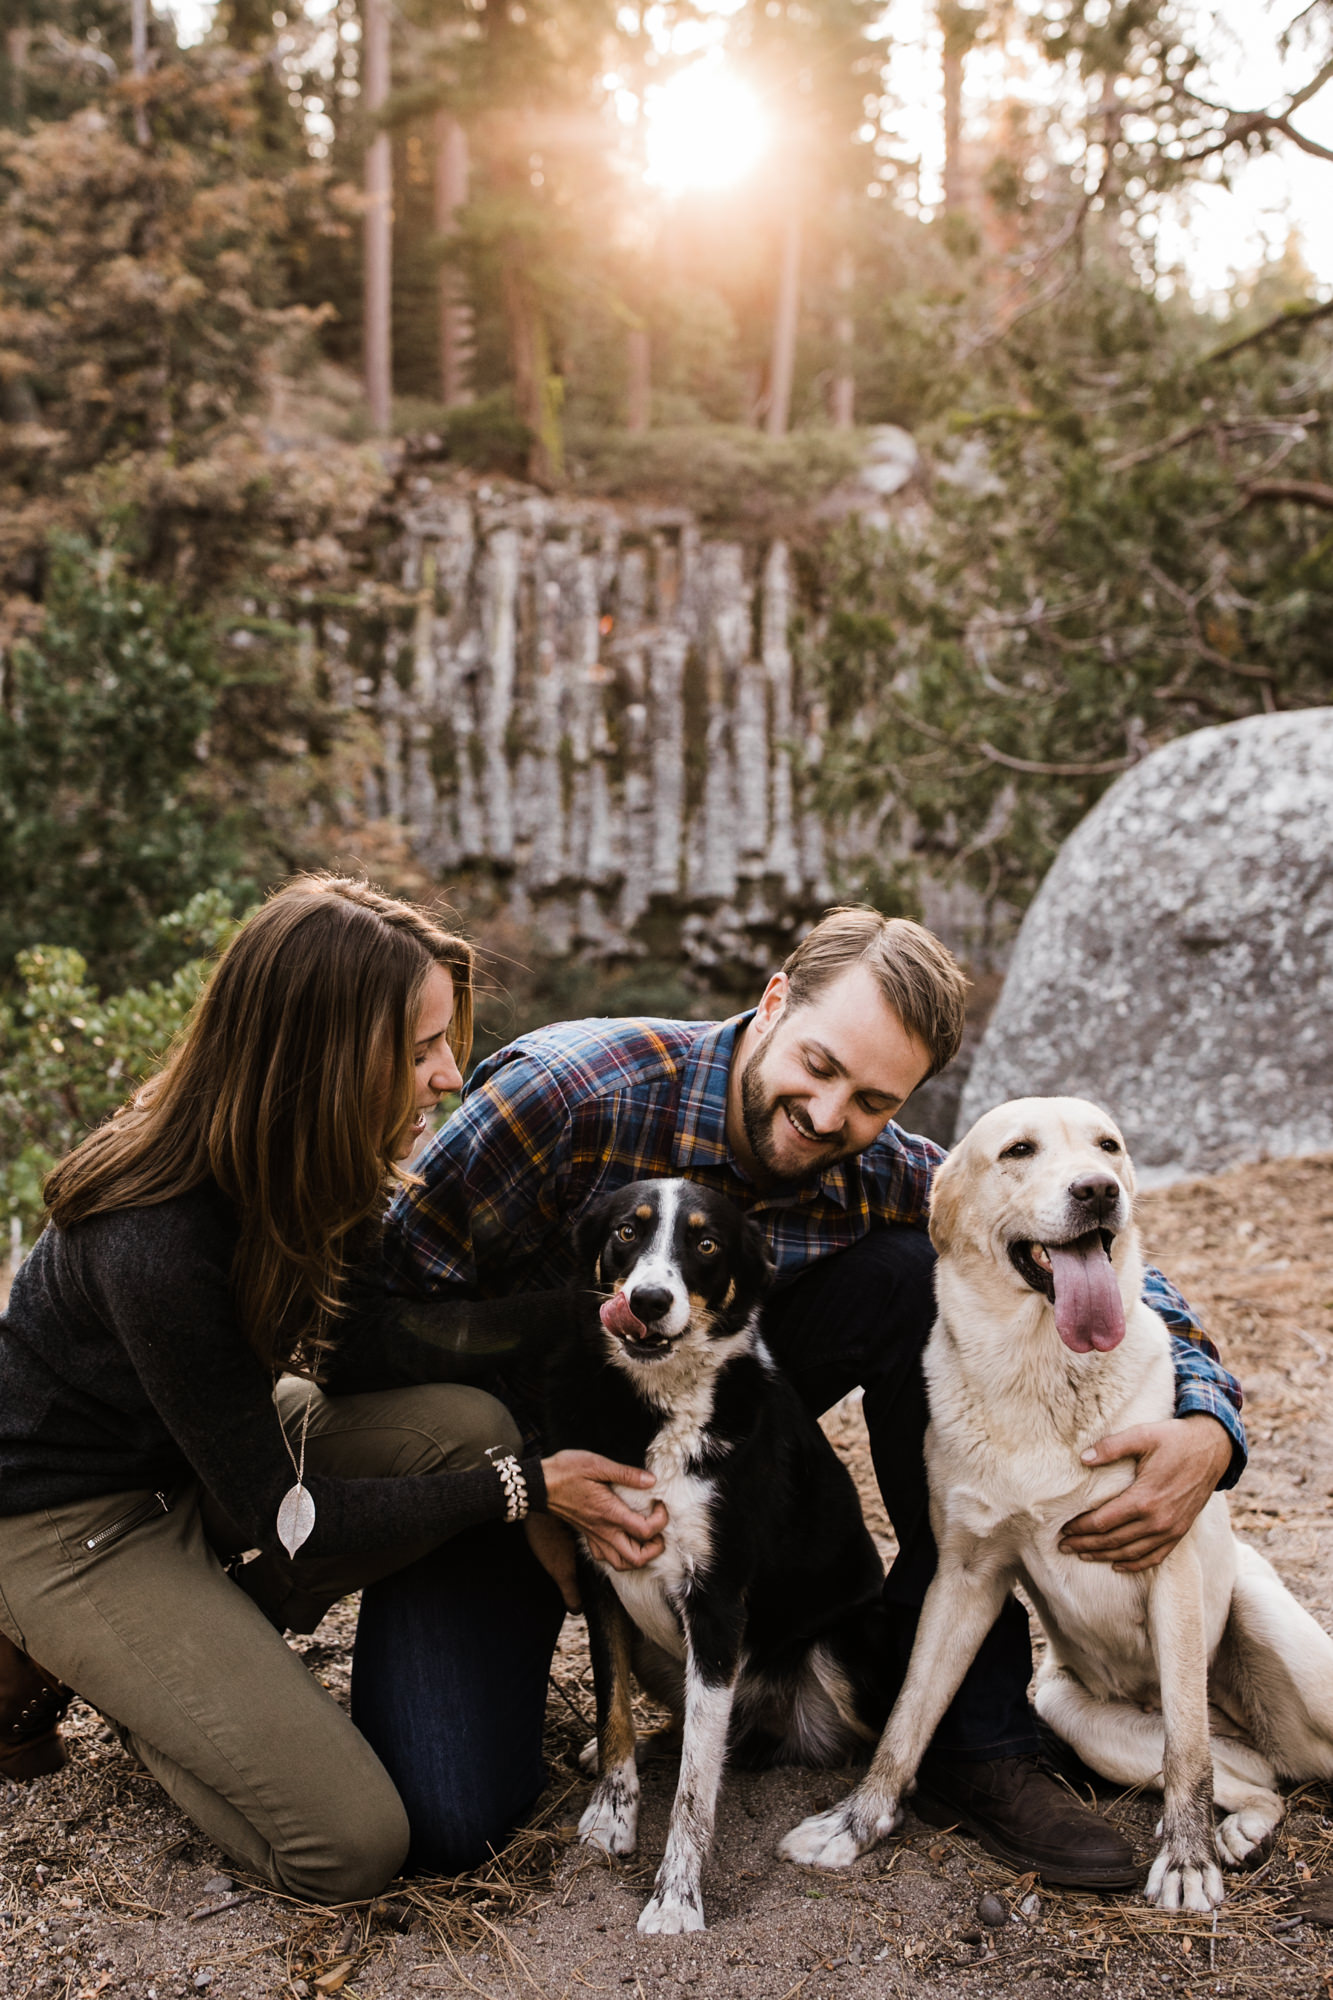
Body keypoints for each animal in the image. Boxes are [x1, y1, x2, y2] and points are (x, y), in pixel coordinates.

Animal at [540, 1176, 892, 1928]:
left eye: (704, 1245)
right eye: (627, 1231)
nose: (648, 1300)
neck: (656, 1411)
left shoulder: (717, 1603)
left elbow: (695, 1791)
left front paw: (675, 1901)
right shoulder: (602, 1577)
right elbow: (614, 1714)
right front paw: (611, 1816)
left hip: (840, 1644)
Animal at [780, 1104, 1328, 1912]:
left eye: (1109, 1146)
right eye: (1018, 1150)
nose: (1098, 1190)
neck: (1042, 1368)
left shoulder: (1169, 1569)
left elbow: (1187, 1745)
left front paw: (1186, 1861)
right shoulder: (964, 1579)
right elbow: (908, 1716)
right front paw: (856, 1823)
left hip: (1278, 1640)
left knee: (1228, 1748)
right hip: (1084, 1720)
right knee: (1264, 1785)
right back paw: (1241, 1832)